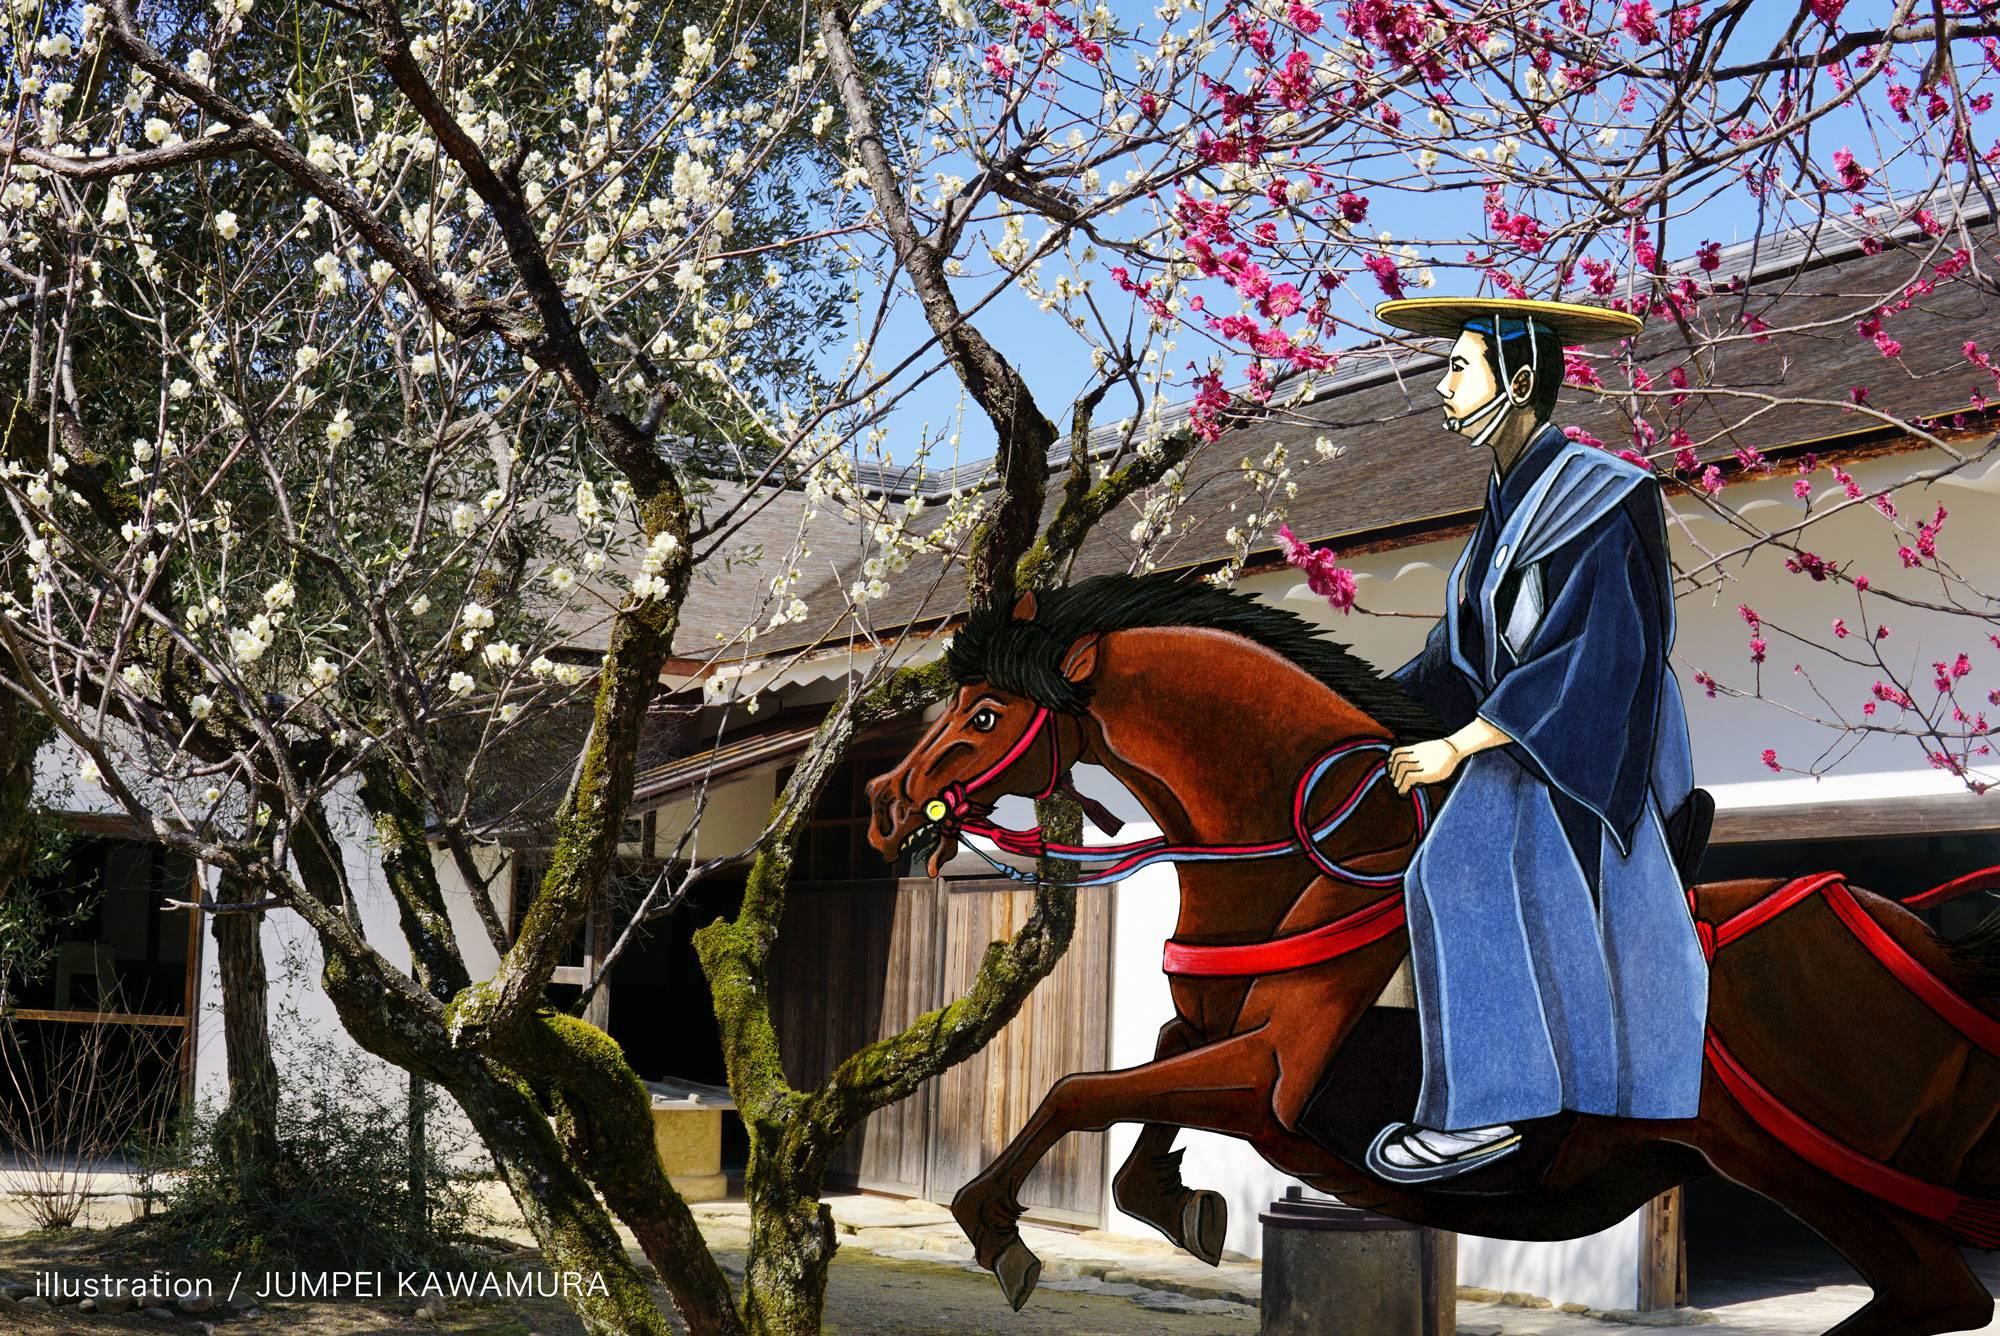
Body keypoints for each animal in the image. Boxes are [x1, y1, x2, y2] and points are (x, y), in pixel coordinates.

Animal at [868, 576, 2000, 1336]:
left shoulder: (1269, 1075)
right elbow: (1134, 1097)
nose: (883, 803)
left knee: (1936, 1293)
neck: (1311, 860)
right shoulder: (1206, 1036)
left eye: (983, 713)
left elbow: (1075, 1089)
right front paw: (1180, 1203)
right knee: (1932, 1296)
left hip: (1803, 1159)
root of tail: (1926, 941)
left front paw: (997, 1231)